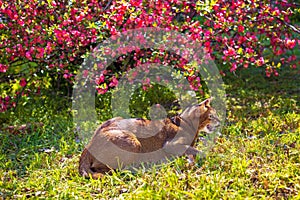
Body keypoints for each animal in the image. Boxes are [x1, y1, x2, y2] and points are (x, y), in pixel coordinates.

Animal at [79, 97, 220, 179]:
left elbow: (192, 152)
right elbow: (196, 150)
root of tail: (88, 145)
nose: (220, 122)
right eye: (213, 116)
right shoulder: (171, 145)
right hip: (133, 142)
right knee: (109, 169)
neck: (187, 122)